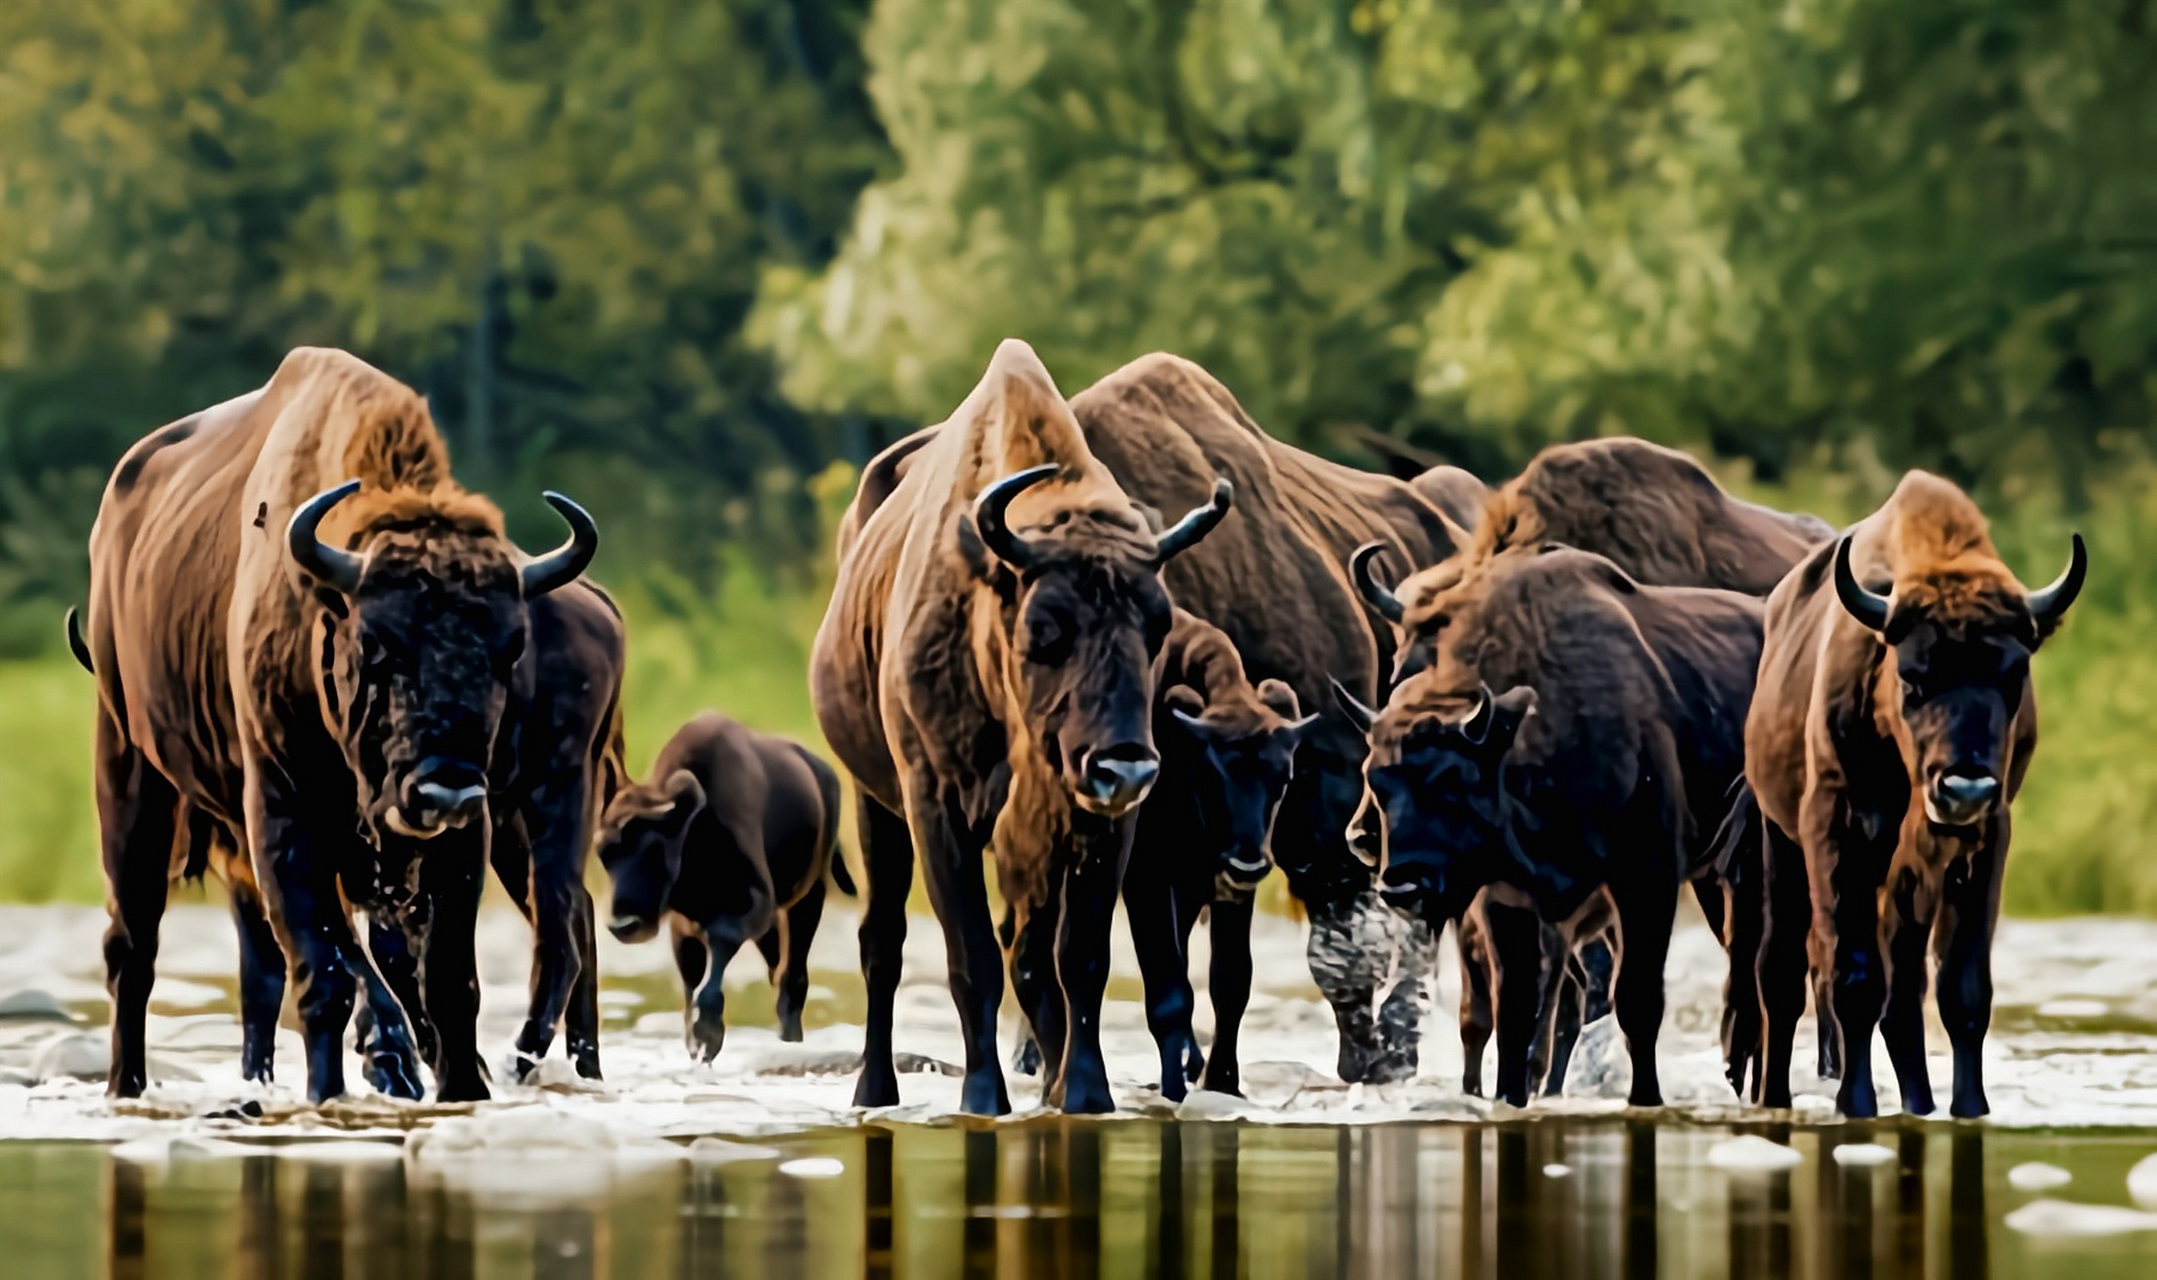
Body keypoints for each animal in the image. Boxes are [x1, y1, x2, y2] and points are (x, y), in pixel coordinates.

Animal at [78, 349, 599, 1096]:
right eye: (378, 643)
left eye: (510, 647)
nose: (444, 788)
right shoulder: (282, 814)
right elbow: (324, 974)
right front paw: (337, 1088)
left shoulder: (459, 839)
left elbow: (447, 980)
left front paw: (461, 1088)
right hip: (130, 768)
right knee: (134, 946)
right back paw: (128, 1083)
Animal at [599, 707, 858, 1057]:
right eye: (602, 851)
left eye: (655, 848)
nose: (624, 924)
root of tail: (825, 774)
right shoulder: (683, 924)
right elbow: (690, 977)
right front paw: (695, 1037)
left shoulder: (754, 903)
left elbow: (720, 942)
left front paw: (708, 1031)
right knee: (777, 969)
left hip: (809, 896)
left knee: (793, 976)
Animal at [811, 338, 1233, 1105]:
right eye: (1044, 627)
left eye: (1157, 622)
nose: (1123, 764)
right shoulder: (936, 807)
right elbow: (970, 956)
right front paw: (983, 1097)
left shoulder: (1099, 825)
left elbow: (1077, 958)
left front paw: (1085, 1094)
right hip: (873, 805)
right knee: (882, 943)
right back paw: (874, 1089)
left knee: (1031, 958)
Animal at [1328, 543, 1768, 1105]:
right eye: (1376, 777)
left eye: (1451, 781)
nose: (1398, 881)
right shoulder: (1506, 901)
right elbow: (1516, 1011)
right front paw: (1509, 1098)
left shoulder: (1646, 878)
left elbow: (1637, 999)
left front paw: (1645, 1098)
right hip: (1712, 881)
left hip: (1743, 874)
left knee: (1752, 981)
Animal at [1742, 472, 2079, 1122]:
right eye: (1912, 676)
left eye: (2013, 675)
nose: (1964, 786)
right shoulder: (1838, 832)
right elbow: (1851, 978)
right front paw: (1856, 1104)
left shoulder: (1981, 844)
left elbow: (1961, 990)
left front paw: (1971, 1107)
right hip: (1780, 841)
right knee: (1781, 974)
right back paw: (1774, 1100)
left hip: (1906, 884)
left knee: (1903, 999)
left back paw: (1919, 1102)